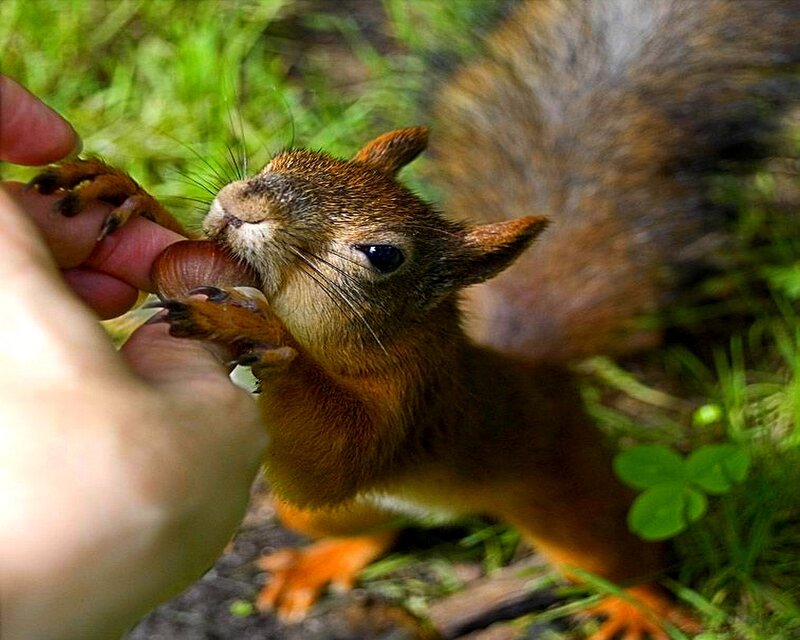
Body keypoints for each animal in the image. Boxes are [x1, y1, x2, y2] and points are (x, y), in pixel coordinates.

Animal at [28, 0, 800, 638]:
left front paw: (257, 335)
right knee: (366, 529)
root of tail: (536, 368)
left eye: (382, 255)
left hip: (566, 489)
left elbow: (336, 453)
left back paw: (641, 608)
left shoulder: (416, 399)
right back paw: (326, 558)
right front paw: (123, 190)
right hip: (316, 516)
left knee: (613, 551)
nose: (240, 201)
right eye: (289, 155)